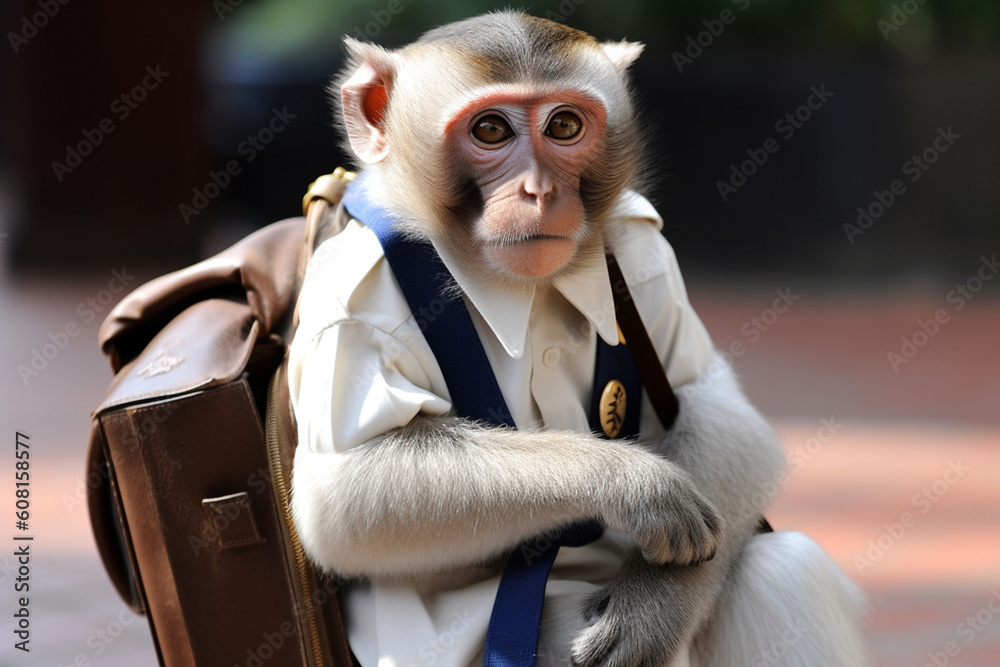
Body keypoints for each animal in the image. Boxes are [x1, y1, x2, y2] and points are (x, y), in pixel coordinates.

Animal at [288, 11, 867, 667]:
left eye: (564, 125)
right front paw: (630, 482)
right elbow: (340, 502)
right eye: (490, 130)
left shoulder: (647, 251)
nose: (539, 192)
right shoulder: (350, 310)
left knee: (783, 569)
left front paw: (656, 601)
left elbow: (718, 408)